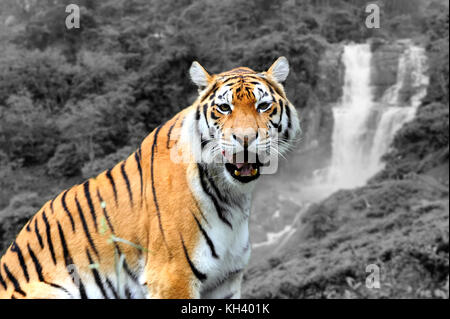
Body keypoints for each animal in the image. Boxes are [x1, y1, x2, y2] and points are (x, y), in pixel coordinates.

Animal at [1, 57, 300, 300]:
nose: (246, 138)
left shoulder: (225, 281)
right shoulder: (172, 276)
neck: (232, 195)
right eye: (224, 108)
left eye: (263, 106)